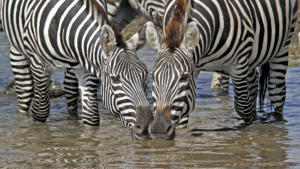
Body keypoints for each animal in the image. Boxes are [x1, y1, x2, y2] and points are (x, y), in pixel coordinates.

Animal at [0, 0, 154, 139]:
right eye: (115, 79)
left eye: (145, 77)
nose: (146, 127)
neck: (65, 28)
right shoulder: (39, 65)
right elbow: (40, 111)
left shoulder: (87, 68)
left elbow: (91, 116)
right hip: (17, 45)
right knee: (24, 91)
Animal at [143, 0, 298, 139]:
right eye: (153, 77)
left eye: (184, 77)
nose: (158, 129)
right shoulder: (195, 67)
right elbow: (183, 117)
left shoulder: (238, 65)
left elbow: (242, 106)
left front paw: (247, 132)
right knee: (254, 83)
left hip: (283, 44)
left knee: (277, 92)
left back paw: (277, 123)